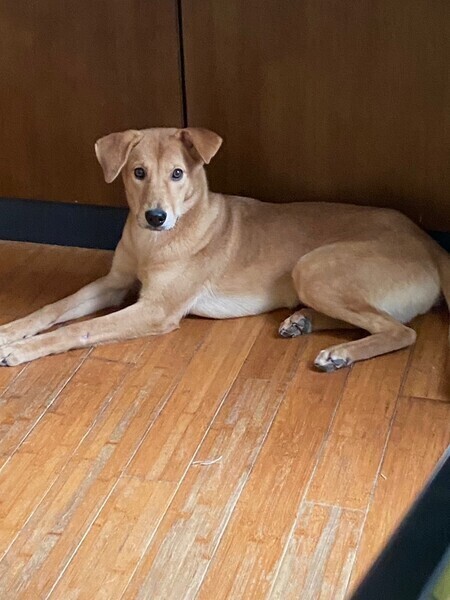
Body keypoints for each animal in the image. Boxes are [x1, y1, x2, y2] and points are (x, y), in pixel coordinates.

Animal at [0, 127, 448, 370]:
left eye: (177, 174)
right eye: (138, 173)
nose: (156, 216)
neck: (153, 244)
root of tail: (429, 242)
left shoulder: (156, 310)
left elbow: (79, 328)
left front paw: (22, 349)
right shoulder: (115, 283)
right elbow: (54, 308)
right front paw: (10, 330)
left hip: (314, 266)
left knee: (400, 330)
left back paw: (340, 354)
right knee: (376, 320)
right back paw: (302, 322)